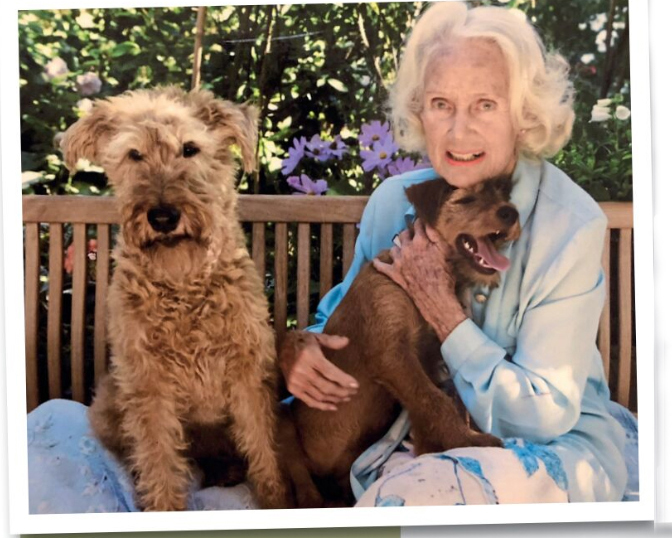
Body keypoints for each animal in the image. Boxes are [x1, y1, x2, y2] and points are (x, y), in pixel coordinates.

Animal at [60, 87, 290, 511]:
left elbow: (264, 451)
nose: (163, 216)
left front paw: (275, 502)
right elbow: (160, 463)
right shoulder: (149, 386)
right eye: (134, 154)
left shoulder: (248, 373)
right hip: (110, 403)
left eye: (190, 149)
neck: (183, 286)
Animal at [280, 175, 522, 506]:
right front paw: (465, 441)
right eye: (467, 200)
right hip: (285, 424)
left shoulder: (430, 357)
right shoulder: (392, 353)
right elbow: (434, 400)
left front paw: (435, 444)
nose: (511, 212)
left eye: (502, 194)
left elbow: (436, 400)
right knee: (299, 477)